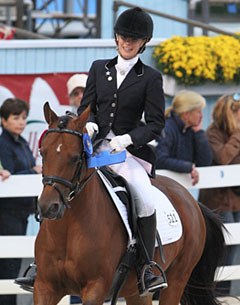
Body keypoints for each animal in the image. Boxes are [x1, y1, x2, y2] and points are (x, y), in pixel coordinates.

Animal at [34, 102, 226, 304]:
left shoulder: (95, 289)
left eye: (75, 158)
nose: (48, 207)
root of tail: (191, 200)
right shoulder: (44, 287)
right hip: (136, 292)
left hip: (177, 279)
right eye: (42, 153)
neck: (68, 228)